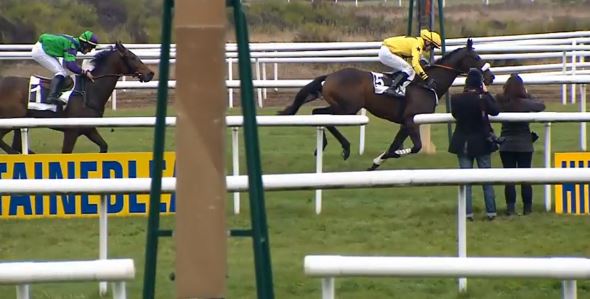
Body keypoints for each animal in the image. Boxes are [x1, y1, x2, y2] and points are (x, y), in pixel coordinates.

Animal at [0, 41, 155, 155]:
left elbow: (104, 146)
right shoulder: (71, 132)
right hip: (10, 120)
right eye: (132, 57)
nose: (150, 73)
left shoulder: (89, 129)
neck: (90, 91)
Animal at [280, 38, 498, 171]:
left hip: (342, 108)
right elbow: (415, 147)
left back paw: (324, 146)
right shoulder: (411, 120)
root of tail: (331, 76)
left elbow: (396, 144)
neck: (428, 84)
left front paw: (375, 163)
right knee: (322, 115)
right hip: (346, 109)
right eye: (476, 57)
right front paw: (393, 154)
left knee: (318, 113)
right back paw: (345, 147)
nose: (491, 76)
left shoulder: (405, 123)